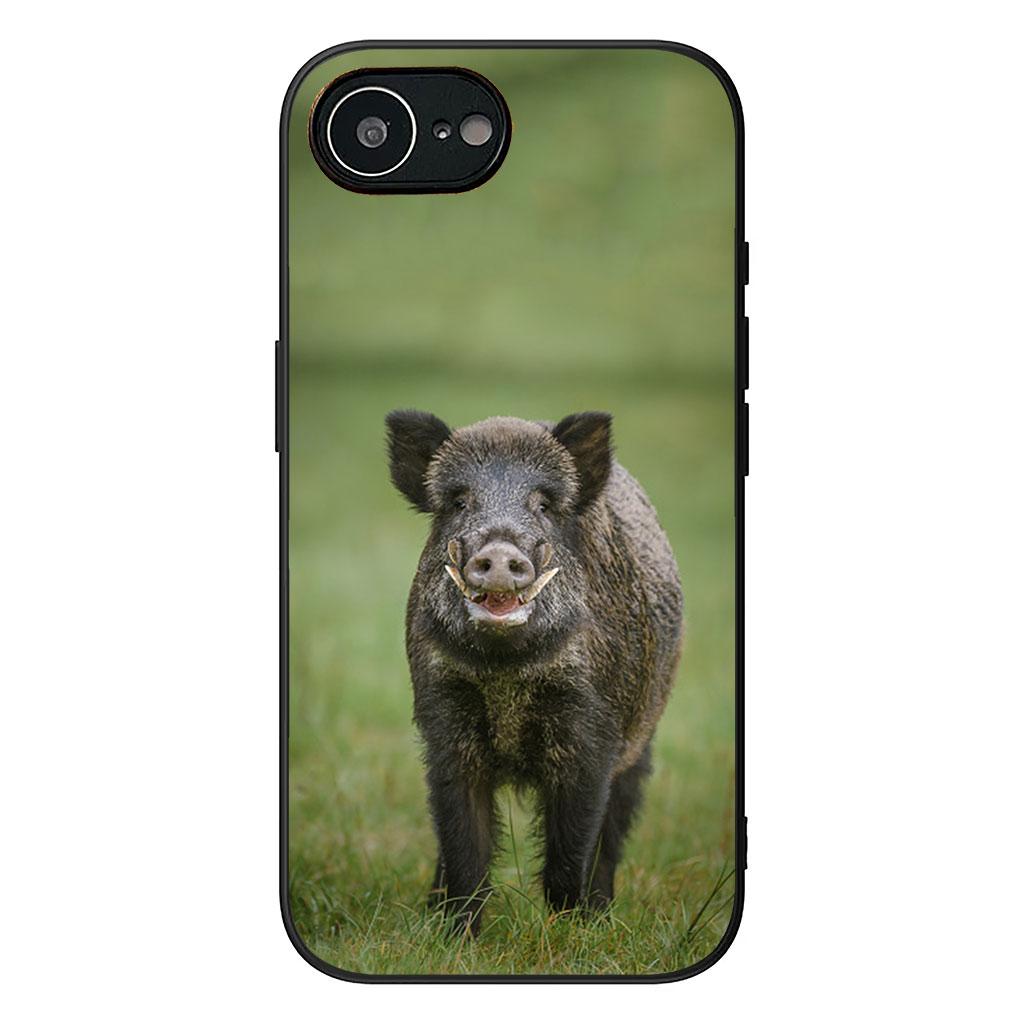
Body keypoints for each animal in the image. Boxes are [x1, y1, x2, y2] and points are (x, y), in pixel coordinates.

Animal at [385, 409, 684, 934]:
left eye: (543, 504)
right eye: (459, 502)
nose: (501, 552)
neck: (506, 669)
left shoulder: (591, 732)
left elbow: (572, 850)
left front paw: (570, 933)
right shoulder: (444, 721)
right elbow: (463, 843)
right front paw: (457, 938)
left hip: (640, 744)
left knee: (612, 836)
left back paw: (603, 915)